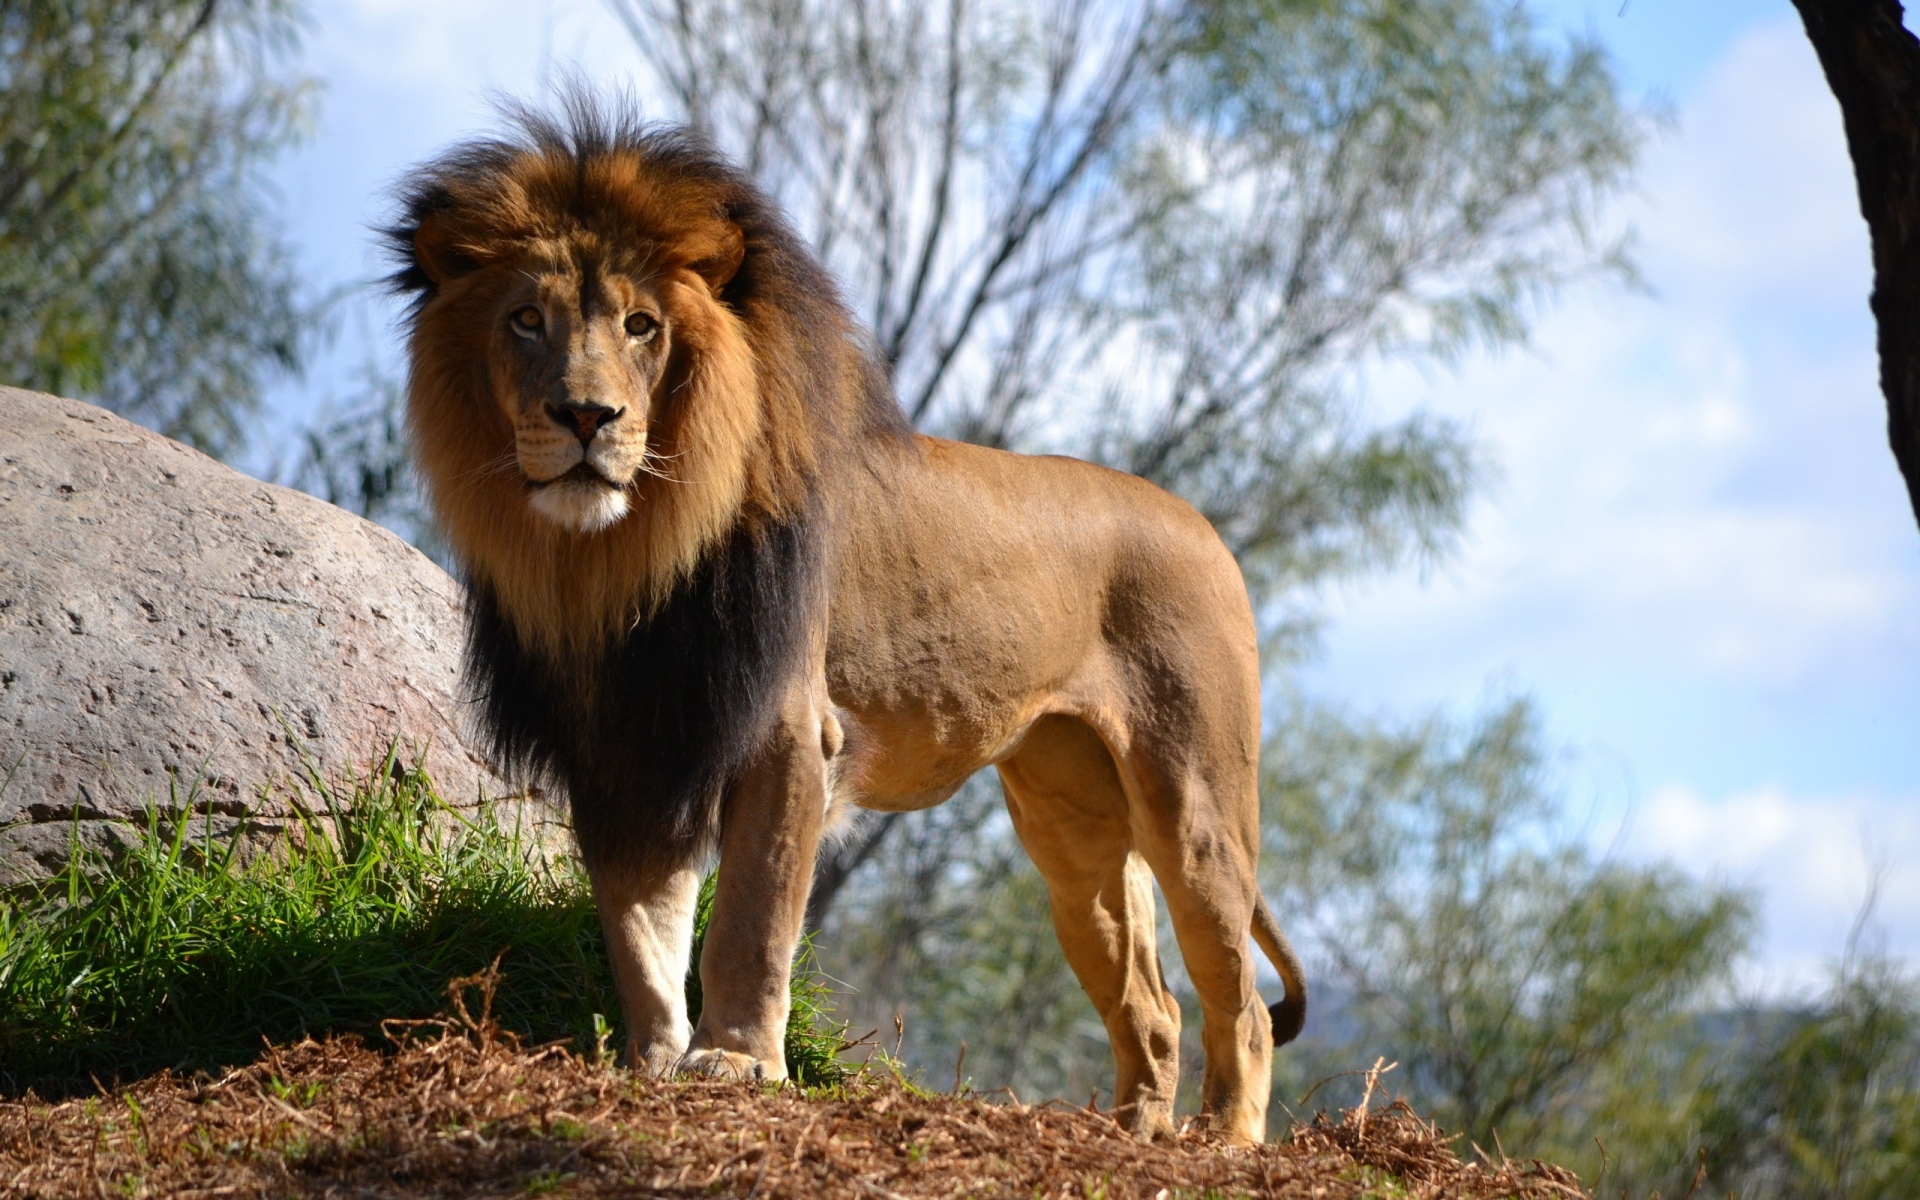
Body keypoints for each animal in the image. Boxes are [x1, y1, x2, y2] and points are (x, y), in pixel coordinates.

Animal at [387, 97, 1306, 1145]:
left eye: (641, 325)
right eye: (526, 319)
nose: (587, 416)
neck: (621, 557)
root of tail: (1203, 525)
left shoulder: (786, 729)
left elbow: (749, 916)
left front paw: (737, 1063)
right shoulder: (625, 743)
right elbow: (639, 923)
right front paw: (651, 1062)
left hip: (1193, 799)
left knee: (1240, 997)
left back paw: (1225, 1137)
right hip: (1071, 820)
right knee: (1150, 1003)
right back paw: (1136, 1130)